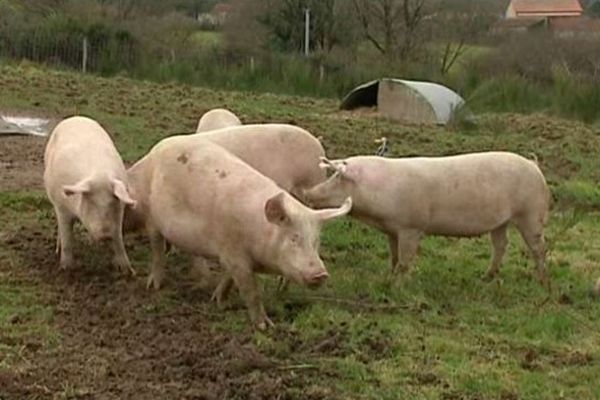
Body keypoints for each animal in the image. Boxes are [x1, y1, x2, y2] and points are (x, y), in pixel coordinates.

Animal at [45, 116, 138, 276]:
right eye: (91, 202)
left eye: (112, 203)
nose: (106, 235)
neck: (99, 174)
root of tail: (76, 117)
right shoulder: (62, 207)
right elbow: (67, 237)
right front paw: (66, 269)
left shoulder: (119, 211)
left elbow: (118, 237)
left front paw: (128, 271)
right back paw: (58, 250)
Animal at [126, 138, 352, 328]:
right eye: (294, 238)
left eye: (316, 241)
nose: (321, 274)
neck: (258, 231)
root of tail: (155, 150)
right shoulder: (234, 254)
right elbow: (251, 291)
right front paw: (265, 326)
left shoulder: (230, 256)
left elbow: (229, 279)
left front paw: (218, 300)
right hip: (152, 219)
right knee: (157, 250)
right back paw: (154, 286)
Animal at [302, 151, 552, 288]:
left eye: (338, 177)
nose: (308, 192)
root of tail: (534, 166)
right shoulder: (392, 230)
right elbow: (394, 257)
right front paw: (388, 277)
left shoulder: (412, 227)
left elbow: (405, 261)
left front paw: (397, 286)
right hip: (501, 221)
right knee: (501, 245)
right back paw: (485, 277)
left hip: (531, 214)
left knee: (539, 248)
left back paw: (540, 281)